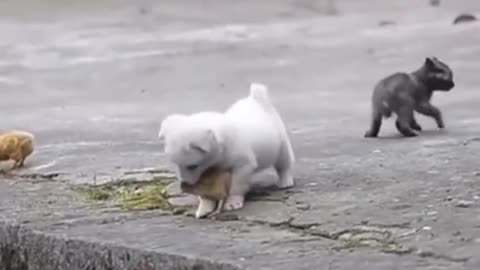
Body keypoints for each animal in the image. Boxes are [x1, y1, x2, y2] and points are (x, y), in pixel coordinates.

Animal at [159, 82, 294, 213]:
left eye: (192, 166)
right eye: (175, 165)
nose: (184, 183)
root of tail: (256, 99)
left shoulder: (243, 165)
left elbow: (237, 186)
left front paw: (233, 202)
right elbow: (205, 191)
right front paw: (205, 206)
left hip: (281, 147)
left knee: (284, 164)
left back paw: (285, 181)